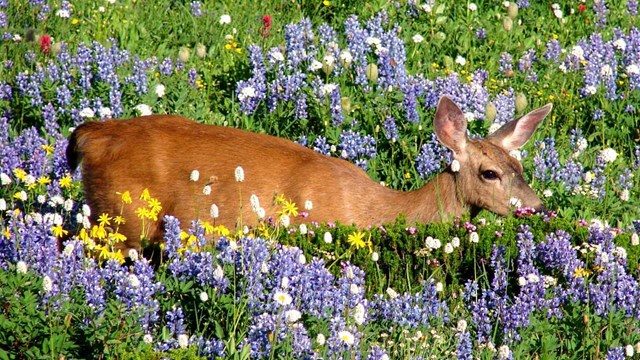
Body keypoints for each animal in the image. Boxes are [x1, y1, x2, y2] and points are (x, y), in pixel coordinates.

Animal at [67, 97, 552, 252]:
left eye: (520, 167)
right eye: (489, 172)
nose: (537, 206)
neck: (376, 208)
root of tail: (90, 134)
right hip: (122, 219)